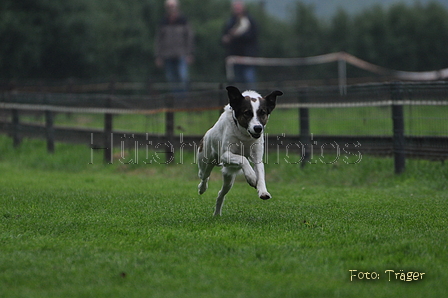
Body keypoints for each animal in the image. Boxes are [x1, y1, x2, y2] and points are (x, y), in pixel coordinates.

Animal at [197, 85, 282, 215]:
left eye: (262, 113)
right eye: (247, 113)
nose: (258, 128)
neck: (245, 135)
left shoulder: (257, 156)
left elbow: (260, 173)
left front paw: (263, 191)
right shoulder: (225, 155)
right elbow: (243, 159)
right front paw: (251, 177)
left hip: (229, 178)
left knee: (221, 194)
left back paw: (217, 213)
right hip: (206, 161)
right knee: (204, 175)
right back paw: (202, 188)